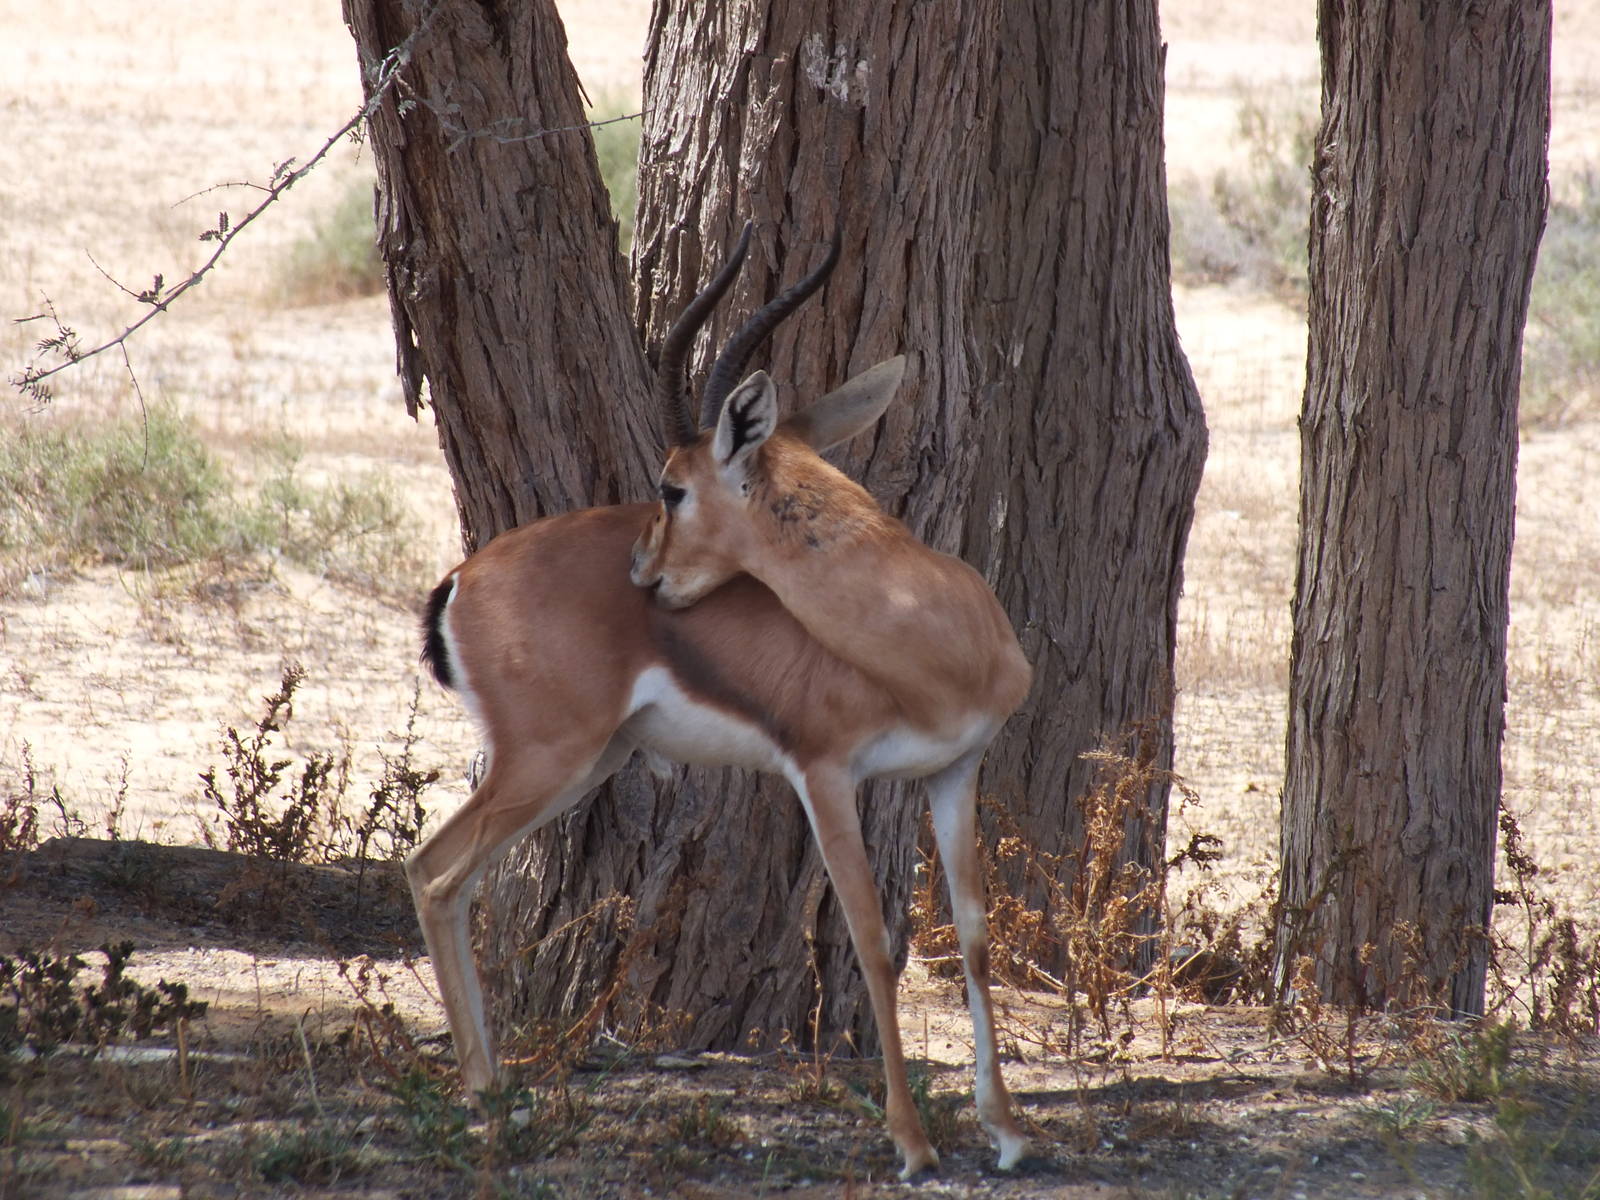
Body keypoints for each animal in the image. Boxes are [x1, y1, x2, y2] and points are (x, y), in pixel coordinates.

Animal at [412, 223, 1031, 1177]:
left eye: (673, 487)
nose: (643, 569)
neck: (931, 639)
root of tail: (462, 579)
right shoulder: (824, 774)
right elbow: (871, 942)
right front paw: (913, 1143)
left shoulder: (956, 768)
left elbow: (973, 935)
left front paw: (1005, 1131)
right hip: (546, 757)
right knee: (432, 871)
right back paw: (485, 1096)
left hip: (587, 763)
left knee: (455, 879)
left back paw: (499, 1090)